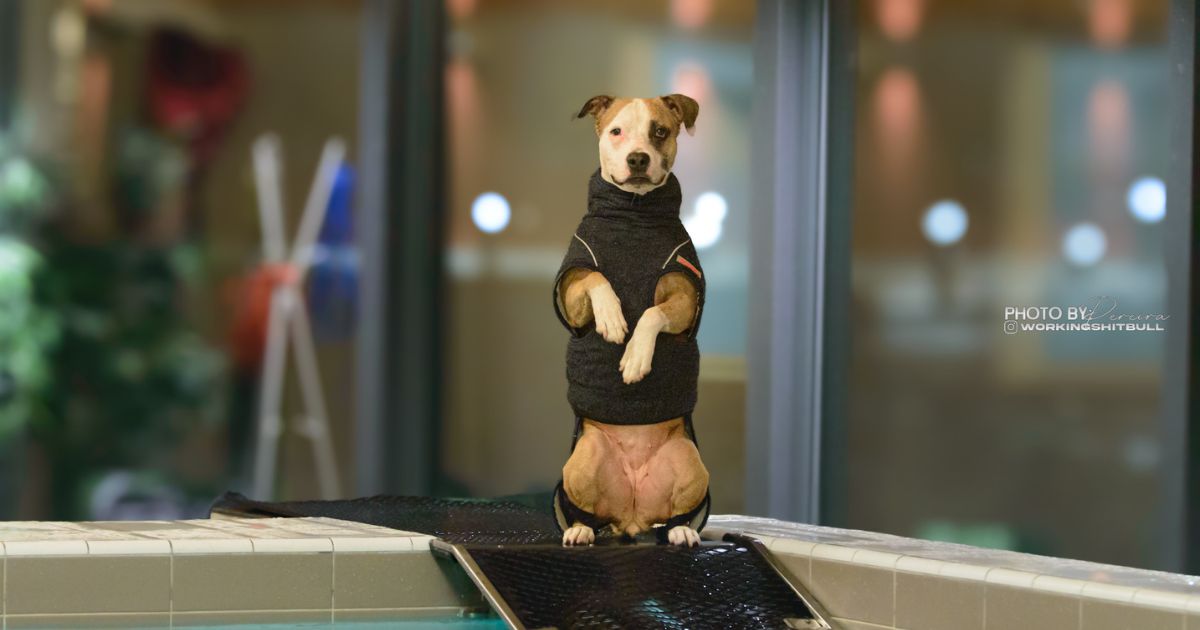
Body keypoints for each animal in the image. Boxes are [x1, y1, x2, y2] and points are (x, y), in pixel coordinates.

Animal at [554, 92, 710, 544]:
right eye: (616, 131)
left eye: (659, 131)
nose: (638, 158)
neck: (633, 217)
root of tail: (633, 516)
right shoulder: (572, 290)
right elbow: (595, 277)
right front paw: (610, 320)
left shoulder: (683, 296)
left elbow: (653, 312)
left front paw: (635, 358)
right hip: (583, 458)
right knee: (588, 513)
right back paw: (580, 531)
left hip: (690, 460)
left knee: (675, 515)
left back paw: (681, 532)